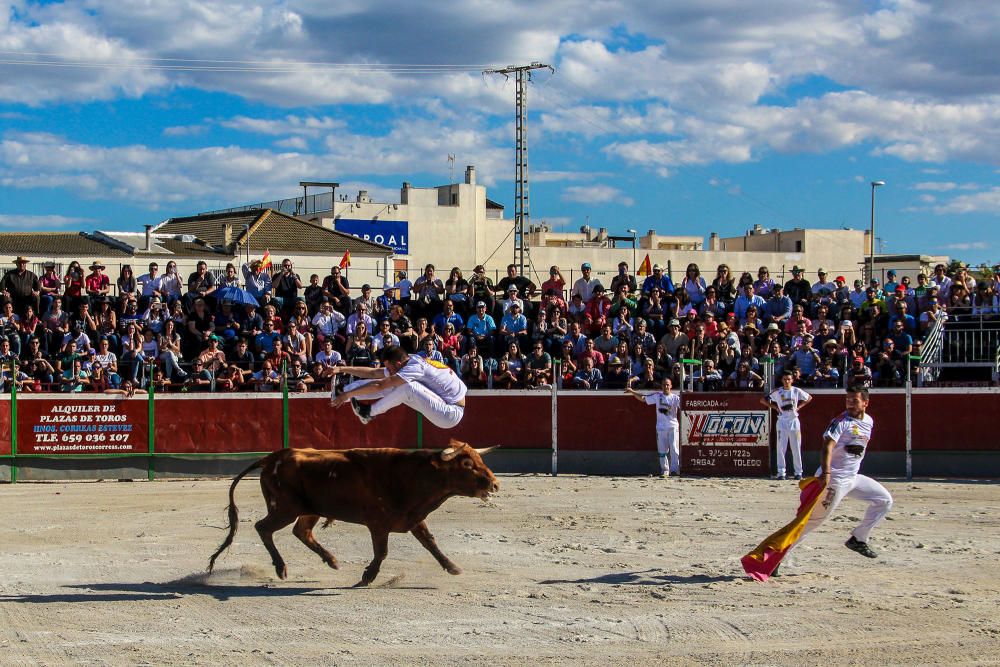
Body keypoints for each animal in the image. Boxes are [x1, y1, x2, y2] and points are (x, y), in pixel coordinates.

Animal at [207, 440, 500, 588]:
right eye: (467, 463)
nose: (495, 484)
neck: (413, 475)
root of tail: (270, 458)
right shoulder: (378, 524)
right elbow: (382, 552)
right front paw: (367, 577)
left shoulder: (414, 518)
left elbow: (431, 543)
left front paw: (453, 567)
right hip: (285, 508)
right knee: (263, 527)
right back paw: (281, 568)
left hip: (309, 510)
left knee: (302, 531)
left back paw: (332, 561)